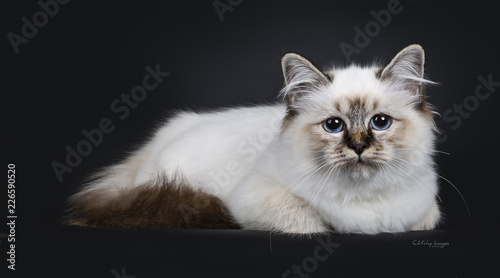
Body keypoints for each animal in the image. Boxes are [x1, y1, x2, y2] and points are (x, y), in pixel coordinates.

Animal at [65, 44, 442, 233]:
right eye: (333, 126)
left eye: (380, 122)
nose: (359, 146)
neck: (365, 200)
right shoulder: (256, 199)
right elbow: (309, 222)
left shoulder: (425, 211)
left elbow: (425, 220)